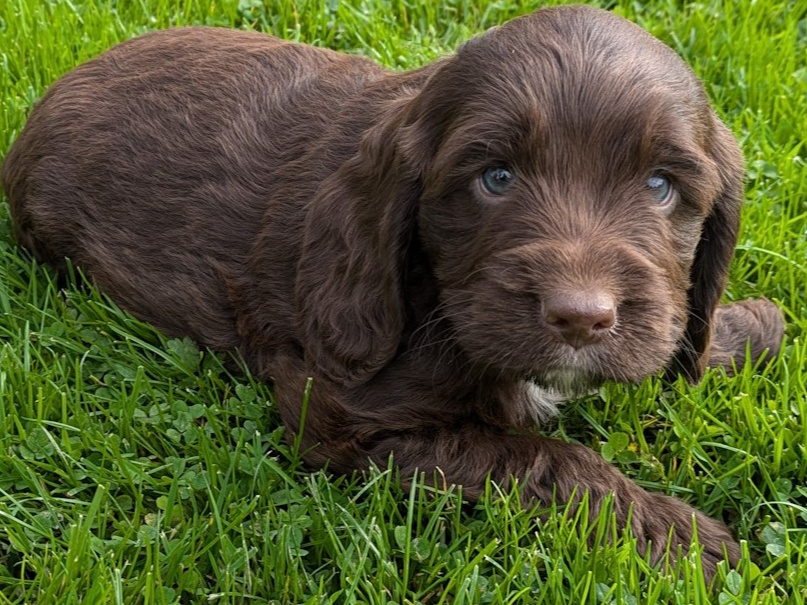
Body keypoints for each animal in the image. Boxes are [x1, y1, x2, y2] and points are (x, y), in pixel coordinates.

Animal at [0, 5, 784, 580]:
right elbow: (546, 460)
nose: (580, 318)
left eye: (660, 185)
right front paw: (684, 537)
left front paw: (748, 329)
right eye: (495, 178)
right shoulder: (346, 411)